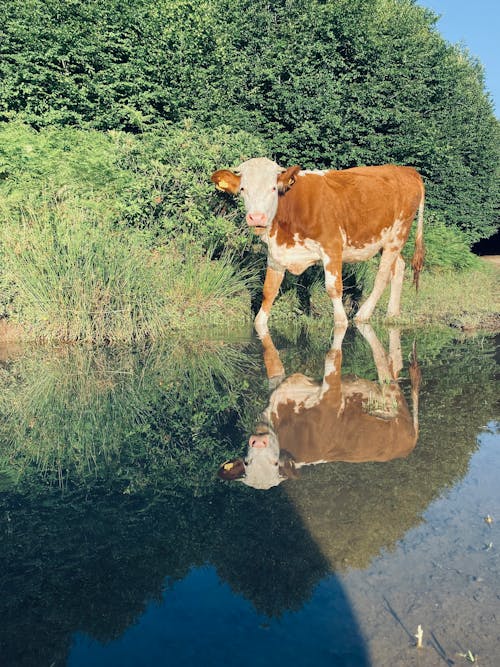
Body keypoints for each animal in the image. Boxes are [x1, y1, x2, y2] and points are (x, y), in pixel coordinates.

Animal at [211, 157, 426, 334]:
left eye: (273, 188)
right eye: (243, 189)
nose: (257, 217)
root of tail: (406, 170)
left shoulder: (332, 247)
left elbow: (333, 289)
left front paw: (342, 321)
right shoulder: (275, 255)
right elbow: (268, 292)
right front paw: (260, 322)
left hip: (398, 233)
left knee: (382, 276)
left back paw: (363, 315)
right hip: (385, 239)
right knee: (399, 266)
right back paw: (392, 314)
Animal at [218, 326, 418, 494]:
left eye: (275, 464)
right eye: (247, 463)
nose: (258, 442)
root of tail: (408, 446)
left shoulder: (332, 397)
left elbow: (331, 355)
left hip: (394, 396)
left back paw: (413, 364)